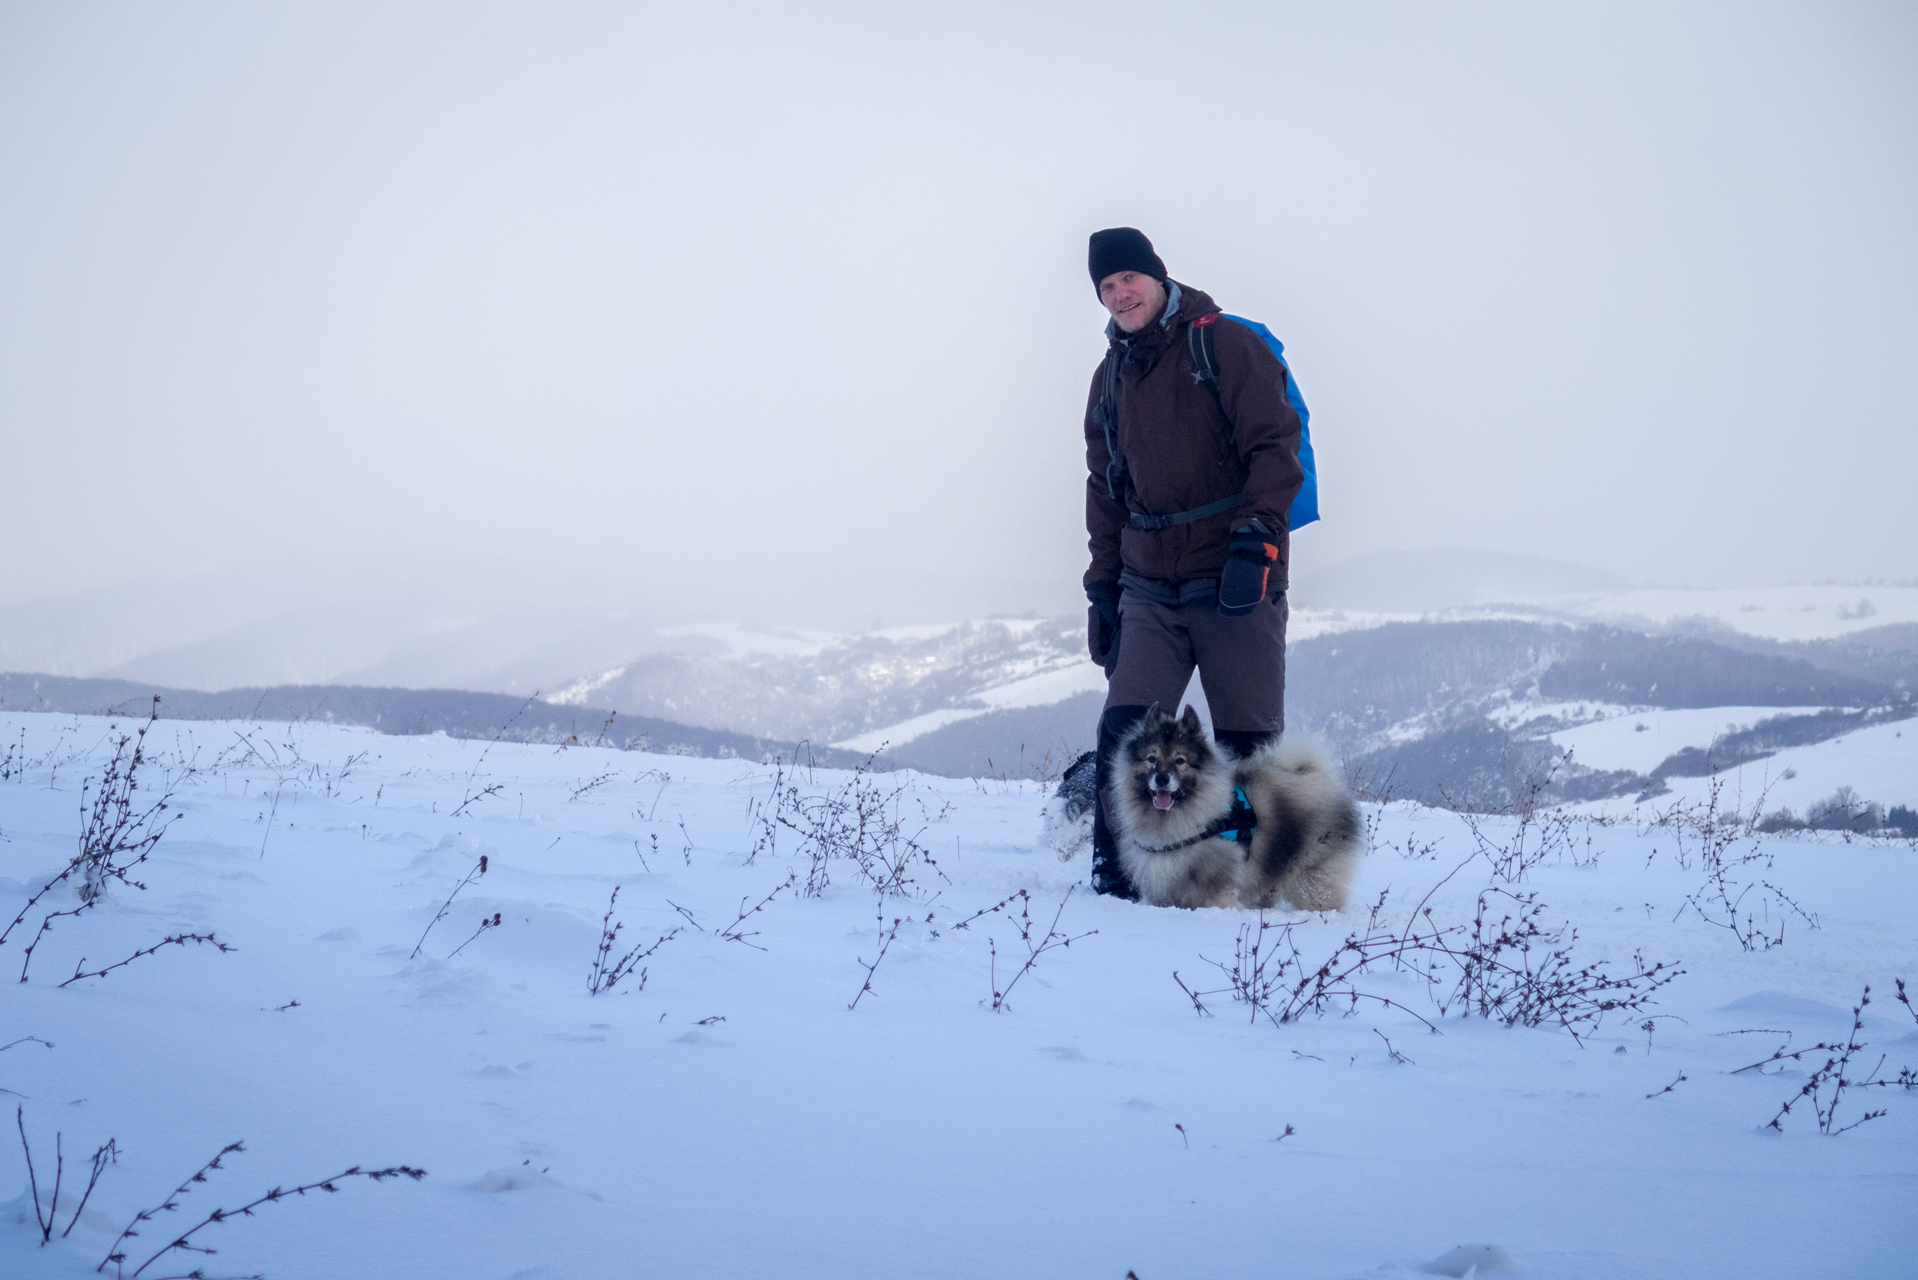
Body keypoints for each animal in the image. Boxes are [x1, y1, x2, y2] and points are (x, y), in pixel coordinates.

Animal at [1104, 710, 1357, 909]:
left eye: (1180, 761)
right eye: (1151, 759)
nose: (1162, 779)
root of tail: (1314, 773)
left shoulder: (1216, 884)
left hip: (1308, 874)